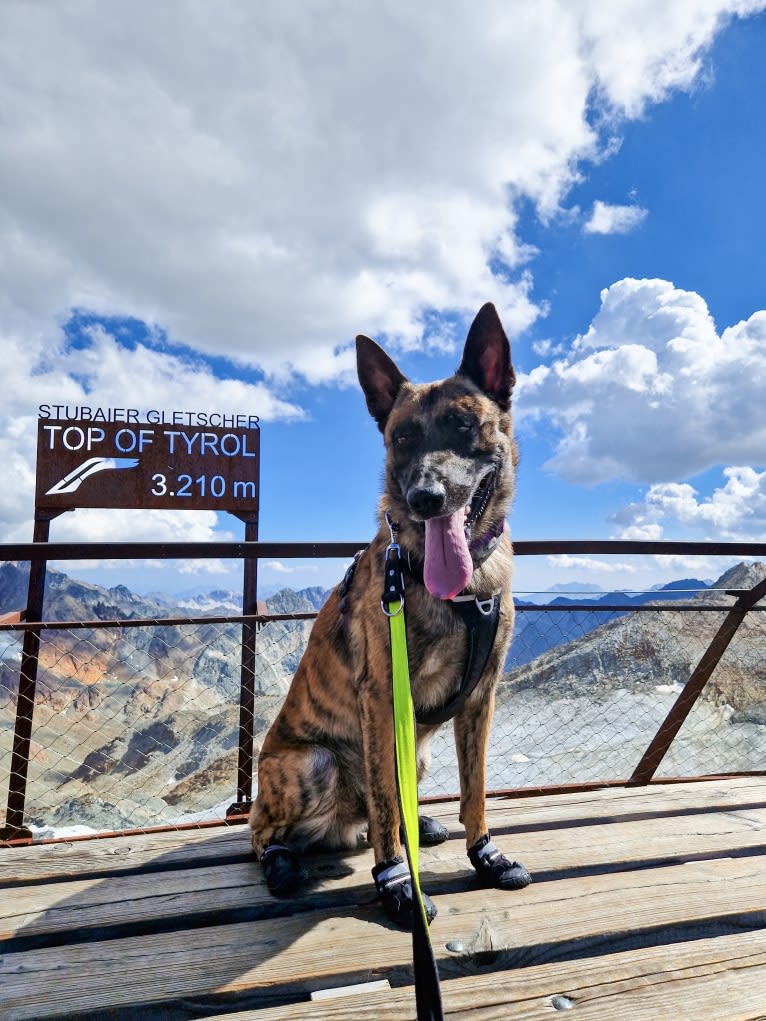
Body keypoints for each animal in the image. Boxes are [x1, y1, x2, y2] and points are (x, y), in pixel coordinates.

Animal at [252, 300, 535, 927]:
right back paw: (283, 862)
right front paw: (396, 884)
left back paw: (419, 825)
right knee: (268, 832)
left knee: (376, 815)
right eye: (402, 437)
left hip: (419, 757)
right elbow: (386, 808)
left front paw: (485, 854)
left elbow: (475, 790)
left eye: (464, 426)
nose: (426, 498)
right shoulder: (383, 699)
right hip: (313, 764)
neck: (461, 590)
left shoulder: (480, 700)